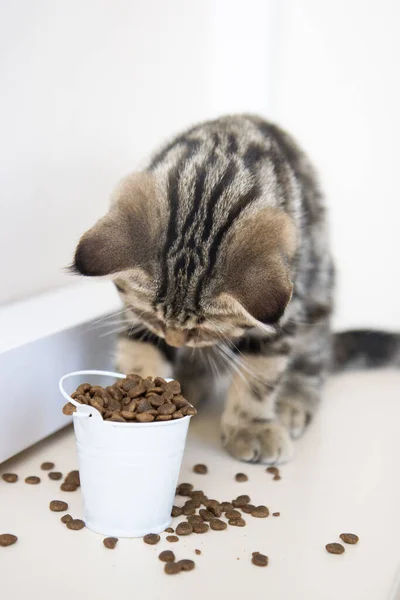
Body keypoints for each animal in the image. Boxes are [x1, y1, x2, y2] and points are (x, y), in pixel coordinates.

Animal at [72, 116, 334, 464]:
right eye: (154, 319)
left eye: (203, 329)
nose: (174, 341)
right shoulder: (137, 319)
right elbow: (140, 352)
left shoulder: (285, 311)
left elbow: (260, 372)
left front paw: (251, 427)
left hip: (318, 295)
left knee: (313, 357)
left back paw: (294, 402)